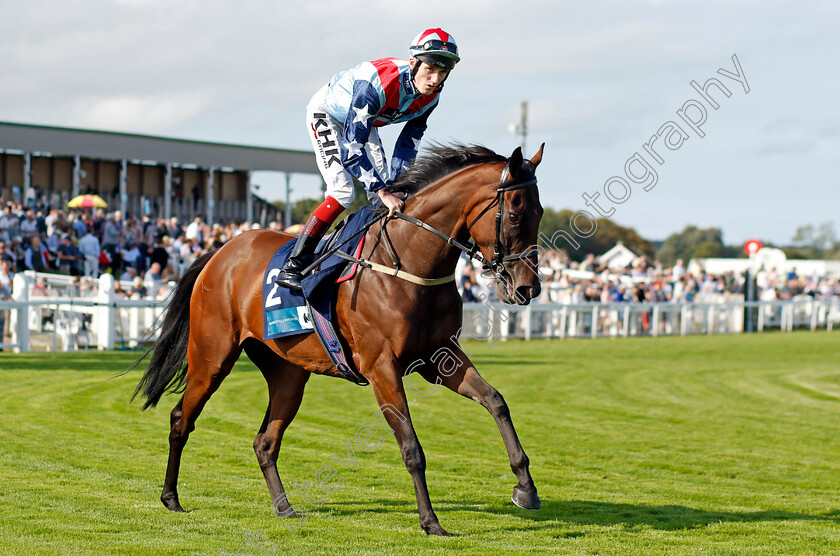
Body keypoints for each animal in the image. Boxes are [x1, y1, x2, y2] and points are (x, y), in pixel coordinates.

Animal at [133, 142, 544, 536]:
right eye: (514, 215)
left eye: (539, 213)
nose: (529, 288)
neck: (409, 261)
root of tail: (220, 252)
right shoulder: (382, 367)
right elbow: (411, 446)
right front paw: (431, 522)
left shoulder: (439, 357)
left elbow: (496, 401)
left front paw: (525, 488)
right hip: (212, 357)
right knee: (181, 420)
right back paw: (170, 497)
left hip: (288, 373)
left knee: (265, 441)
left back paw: (284, 507)